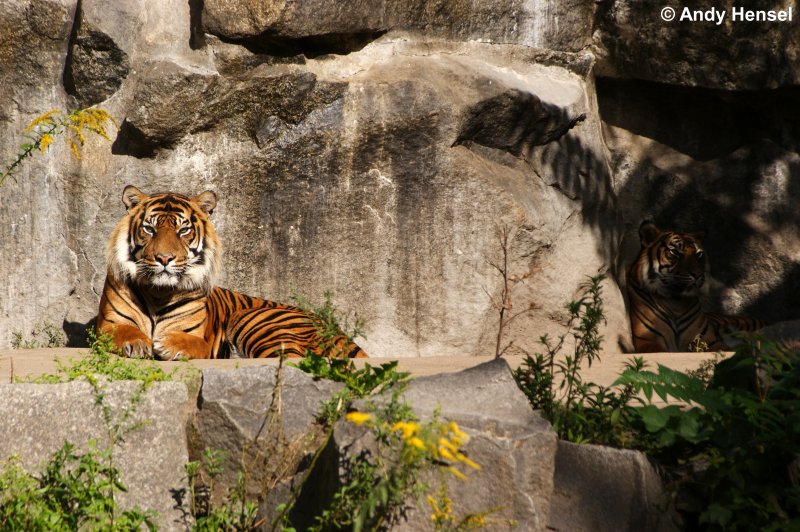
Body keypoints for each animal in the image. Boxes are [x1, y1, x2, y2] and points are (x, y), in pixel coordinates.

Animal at [96, 184, 366, 362]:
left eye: (183, 230)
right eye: (150, 229)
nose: (164, 258)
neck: (159, 292)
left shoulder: (196, 335)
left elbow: (194, 343)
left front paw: (169, 345)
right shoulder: (109, 324)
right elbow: (124, 331)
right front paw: (136, 343)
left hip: (253, 319)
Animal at [624, 220, 764, 354]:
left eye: (699, 254)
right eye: (675, 252)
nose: (697, 274)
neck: (675, 302)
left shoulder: (708, 340)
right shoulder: (647, 339)